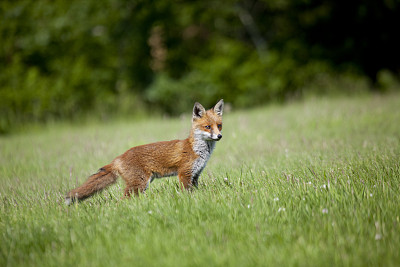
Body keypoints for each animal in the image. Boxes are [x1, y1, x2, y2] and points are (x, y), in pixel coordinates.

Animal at [64, 99, 223, 206]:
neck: (197, 150)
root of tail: (118, 158)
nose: (219, 136)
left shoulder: (195, 175)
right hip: (139, 185)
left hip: (141, 185)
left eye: (219, 125)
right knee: (121, 202)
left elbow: (195, 191)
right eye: (208, 127)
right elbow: (186, 193)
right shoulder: (184, 174)